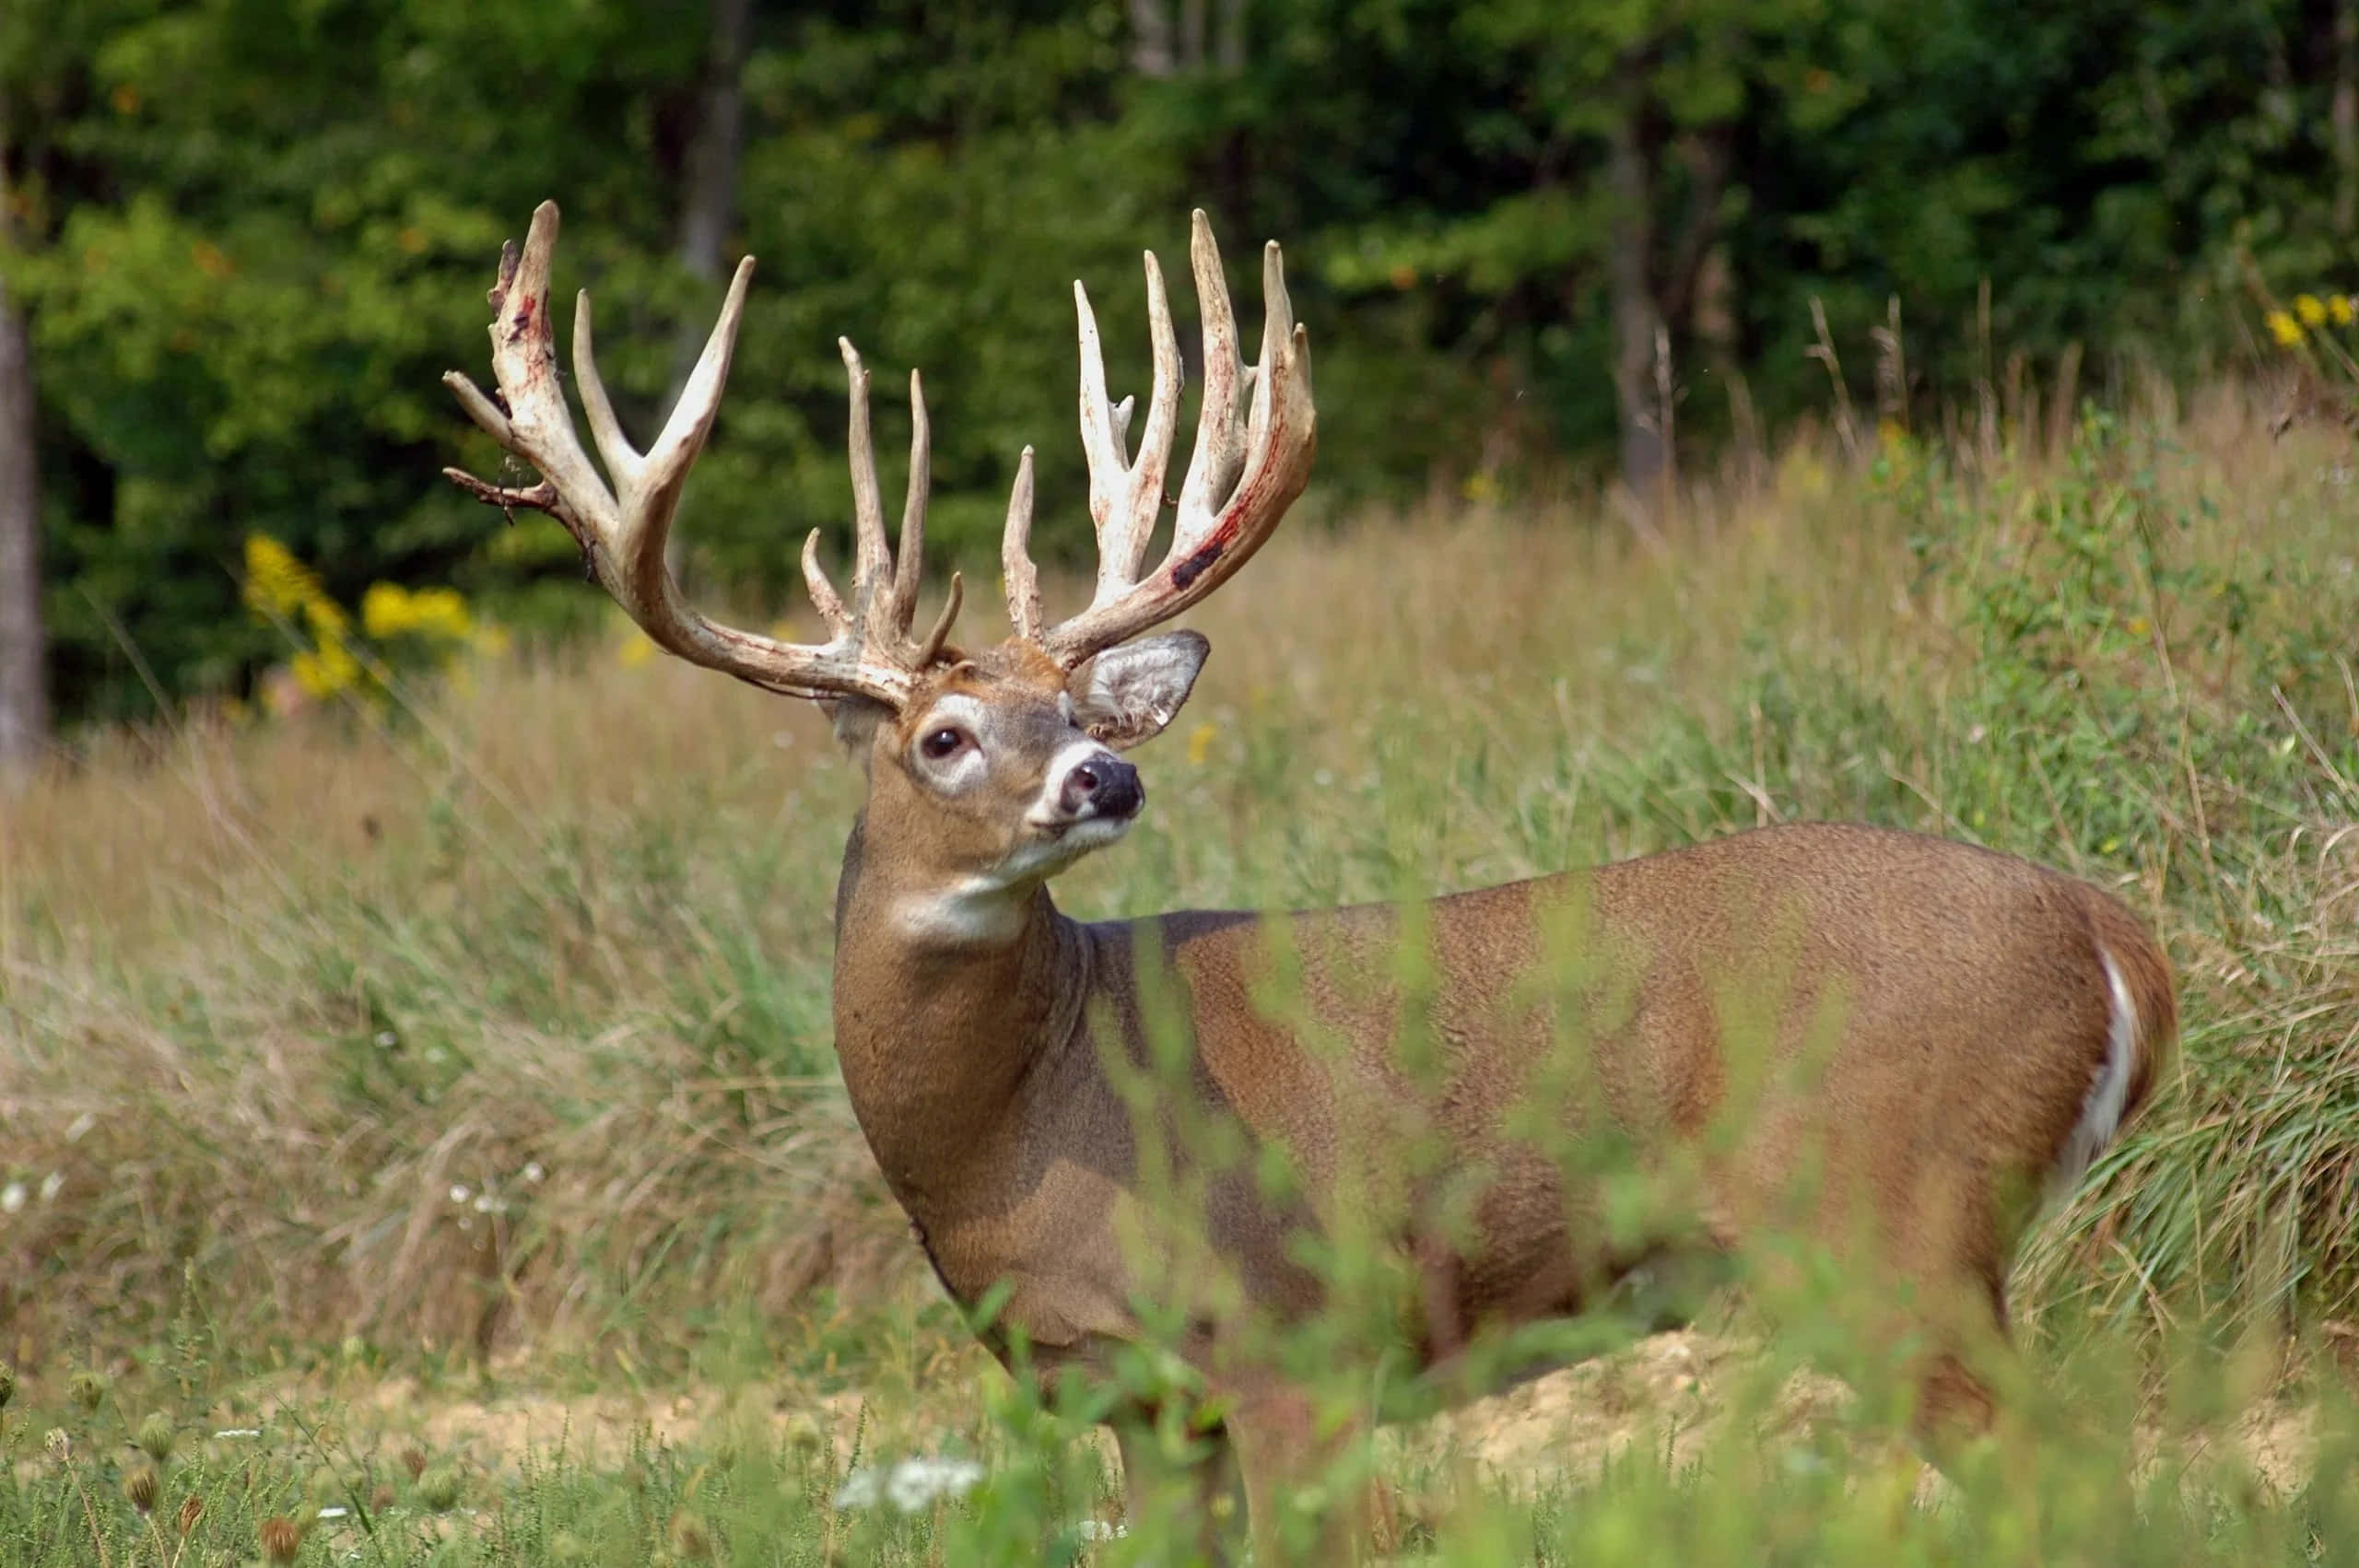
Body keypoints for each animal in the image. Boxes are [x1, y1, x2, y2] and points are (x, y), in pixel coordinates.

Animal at [443, 202, 2176, 1563]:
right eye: (944, 735)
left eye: (1078, 710)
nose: (1107, 774)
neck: (1027, 1121)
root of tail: (2113, 936)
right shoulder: (1143, 1403)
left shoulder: (1299, 1345)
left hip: (1891, 1216)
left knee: (2064, 1472)